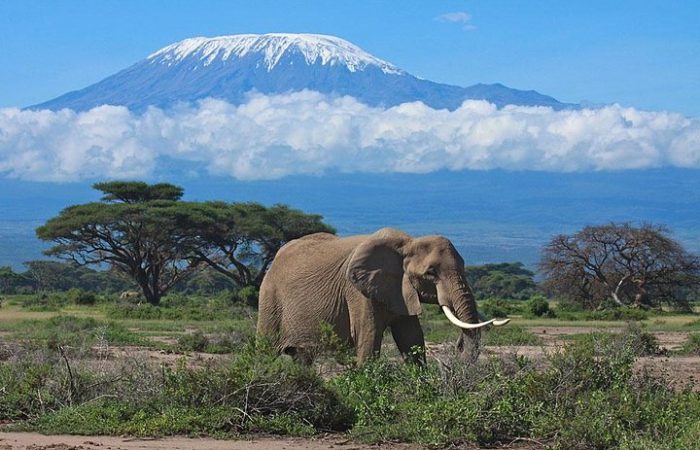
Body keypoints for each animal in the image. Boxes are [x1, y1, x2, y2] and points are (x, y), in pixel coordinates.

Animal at [258, 227, 508, 364]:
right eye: (431, 273)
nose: (457, 346)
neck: (407, 243)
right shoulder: (357, 292)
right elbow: (368, 339)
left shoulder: (400, 290)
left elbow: (412, 339)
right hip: (270, 297)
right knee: (265, 350)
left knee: (302, 358)